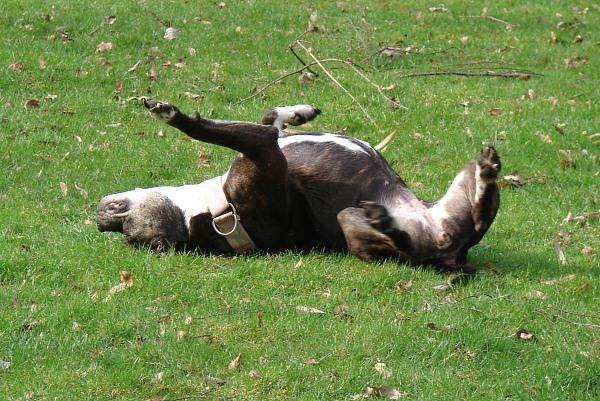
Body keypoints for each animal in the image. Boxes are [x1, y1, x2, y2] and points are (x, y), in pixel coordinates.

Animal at [97, 99, 502, 272]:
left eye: (127, 232)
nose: (102, 222)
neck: (211, 208)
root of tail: (451, 250)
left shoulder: (267, 142)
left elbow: (270, 117)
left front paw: (299, 112)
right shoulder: (263, 147)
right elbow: (206, 128)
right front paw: (169, 113)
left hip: (459, 187)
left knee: (479, 211)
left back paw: (486, 170)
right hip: (350, 221)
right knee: (402, 248)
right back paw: (385, 221)